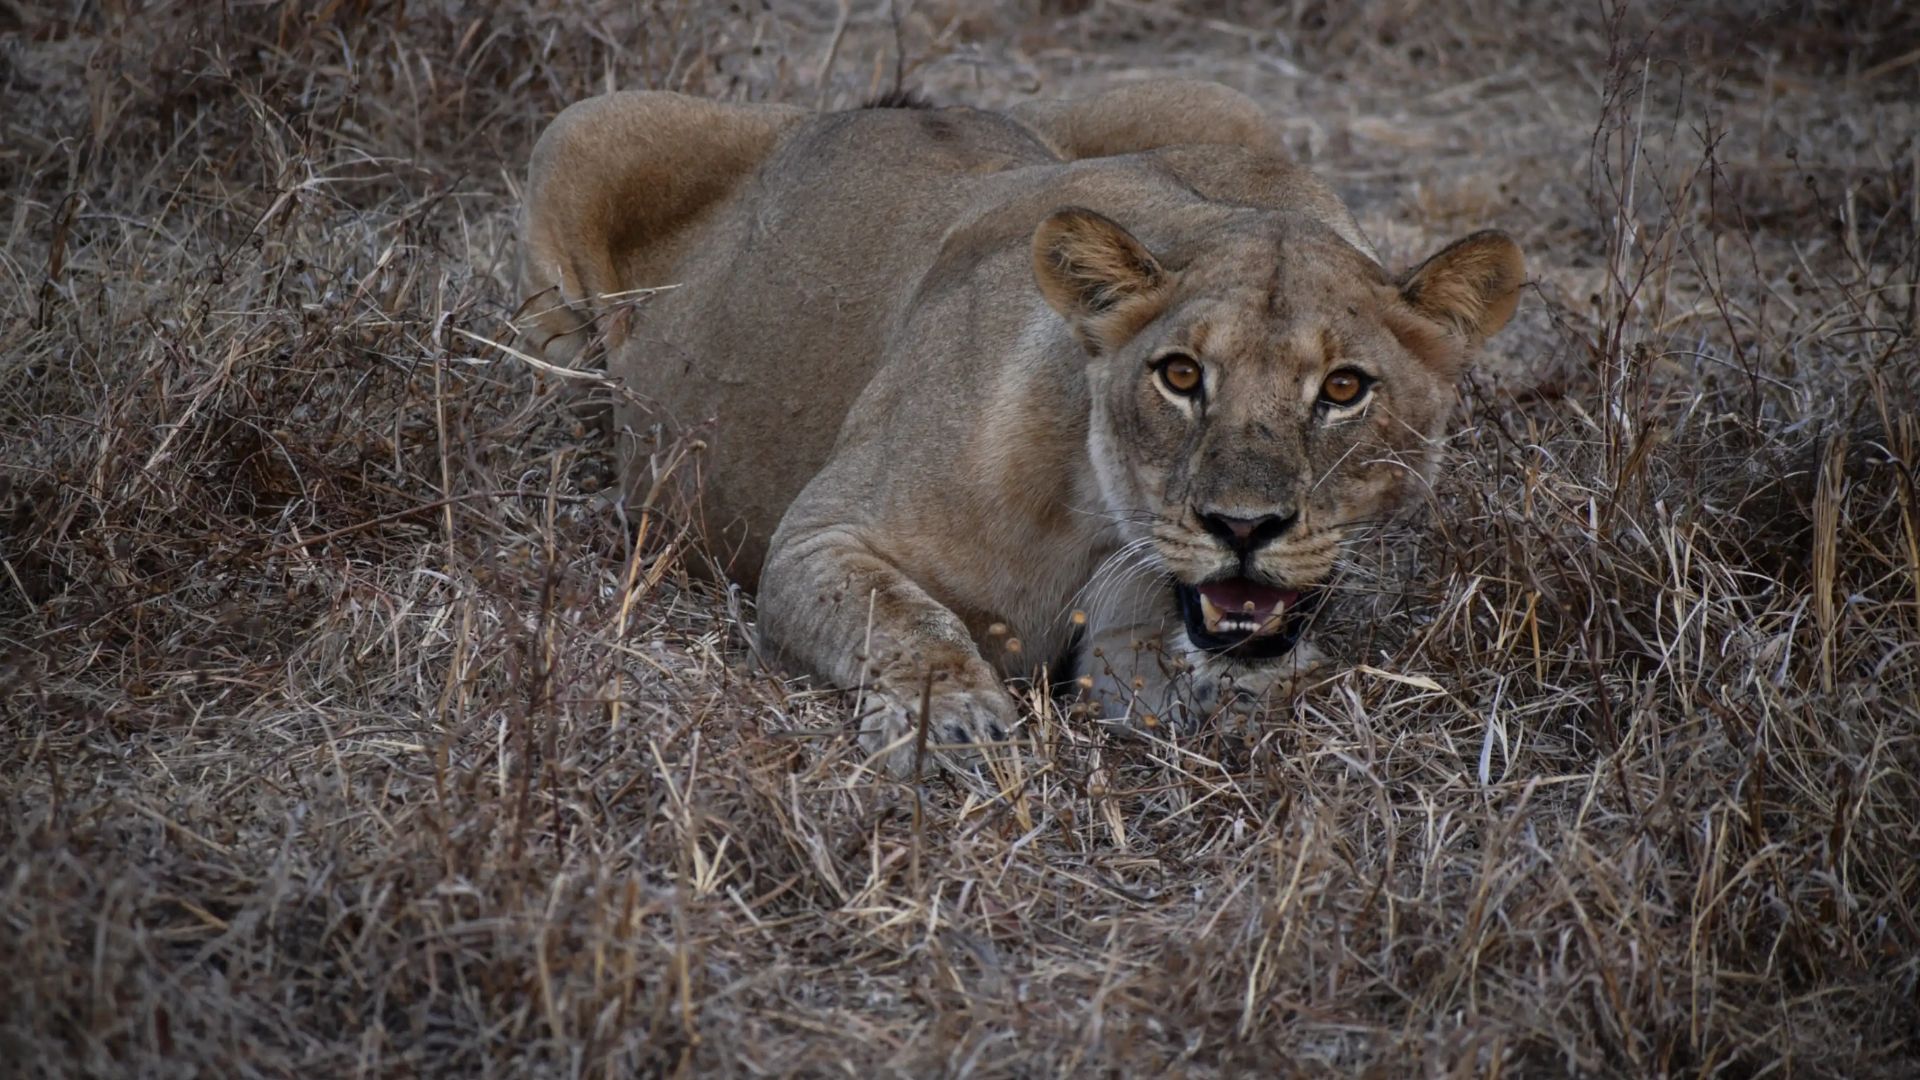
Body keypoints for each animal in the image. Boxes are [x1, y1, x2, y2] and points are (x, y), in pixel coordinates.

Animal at [518, 82, 1520, 772]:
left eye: (1344, 389)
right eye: (1181, 375)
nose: (1243, 529)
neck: (1093, 514)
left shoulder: (1134, 654)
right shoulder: (815, 537)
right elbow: (904, 618)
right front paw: (953, 724)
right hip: (580, 133)